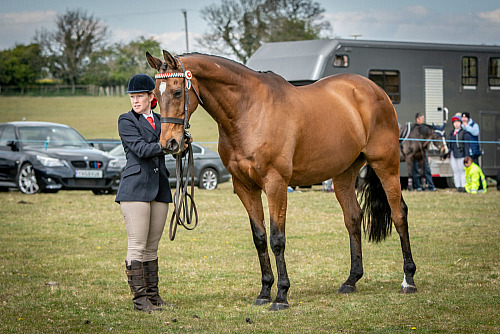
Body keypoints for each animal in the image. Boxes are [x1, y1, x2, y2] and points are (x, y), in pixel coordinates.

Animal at [146, 50, 418, 310]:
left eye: (177, 92)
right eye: (155, 96)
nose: (170, 144)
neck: (249, 110)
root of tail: (375, 90)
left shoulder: (275, 184)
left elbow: (277, 239)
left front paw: (281, 296)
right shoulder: (244, 187)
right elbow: (259, 238)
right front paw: (265, 291)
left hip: (386, 165)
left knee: (399, 214)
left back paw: (408, 280)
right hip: (343, 174)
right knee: (353, 217)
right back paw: (351, 280)